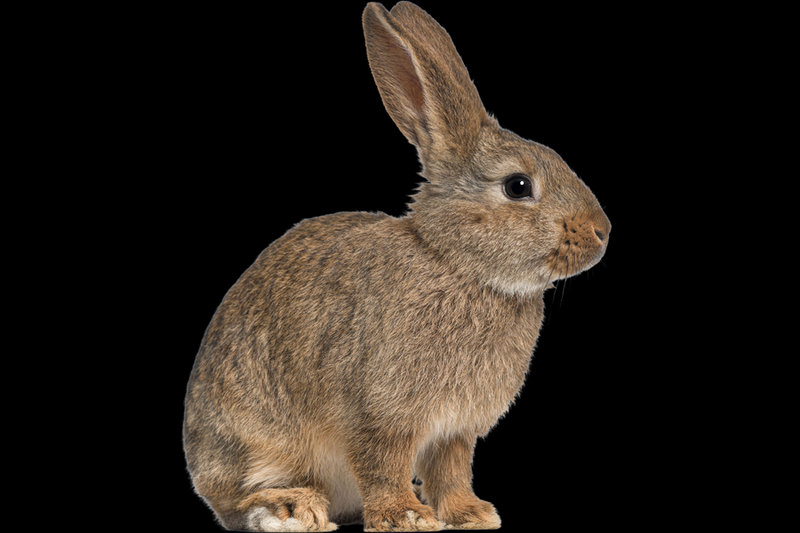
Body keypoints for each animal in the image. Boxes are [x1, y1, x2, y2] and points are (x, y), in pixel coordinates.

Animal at [183, 2, 610, 531]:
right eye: (518, 186)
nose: (602, 232)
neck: (459, 264)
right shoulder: (378, 411)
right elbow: (383, 462)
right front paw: (406, 516)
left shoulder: (454, 430)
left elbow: (450, 470)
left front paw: (470, 513)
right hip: (254, 441)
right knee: (234, 500)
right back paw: (291, 508)